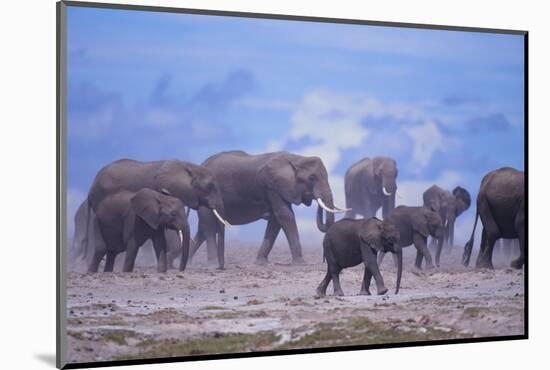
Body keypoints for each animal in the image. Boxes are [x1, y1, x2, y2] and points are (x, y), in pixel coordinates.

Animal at [190, 150, 344, 268]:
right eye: (312, 178)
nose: (314, 198)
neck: (296, 158)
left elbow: (276, 221)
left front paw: (261, 263)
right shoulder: (271, 185)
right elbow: (285, 215)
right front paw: (300, 263)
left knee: (203, 230)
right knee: (209, 228)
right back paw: (211, 264)